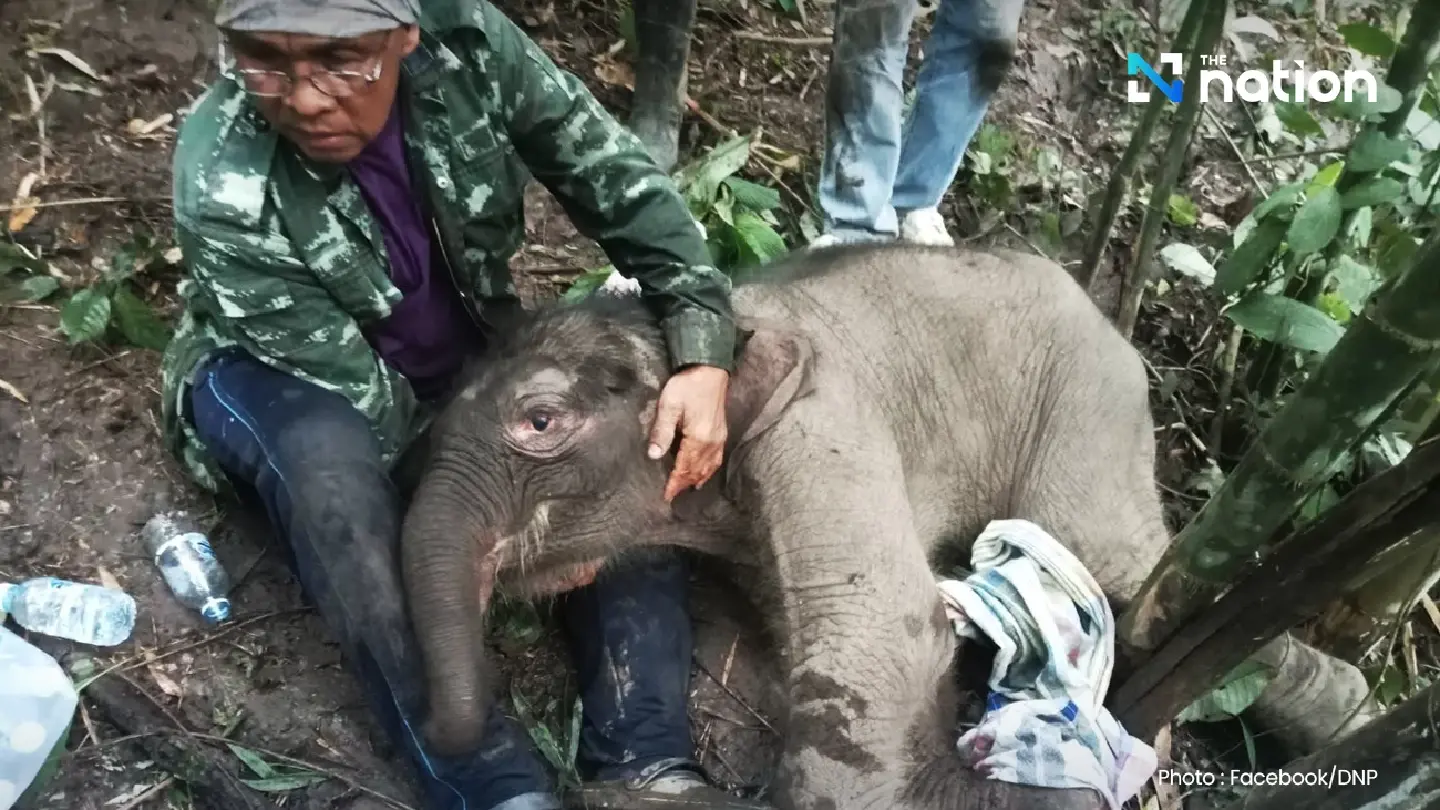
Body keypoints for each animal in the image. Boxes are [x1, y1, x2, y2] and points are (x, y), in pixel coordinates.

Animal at [398, 241, 1169, 810]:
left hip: (1092, 413)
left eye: (539, 421)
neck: (726, 320)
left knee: (1108, 555)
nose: (430, 724)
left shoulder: (821, 425)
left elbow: (882, 647)